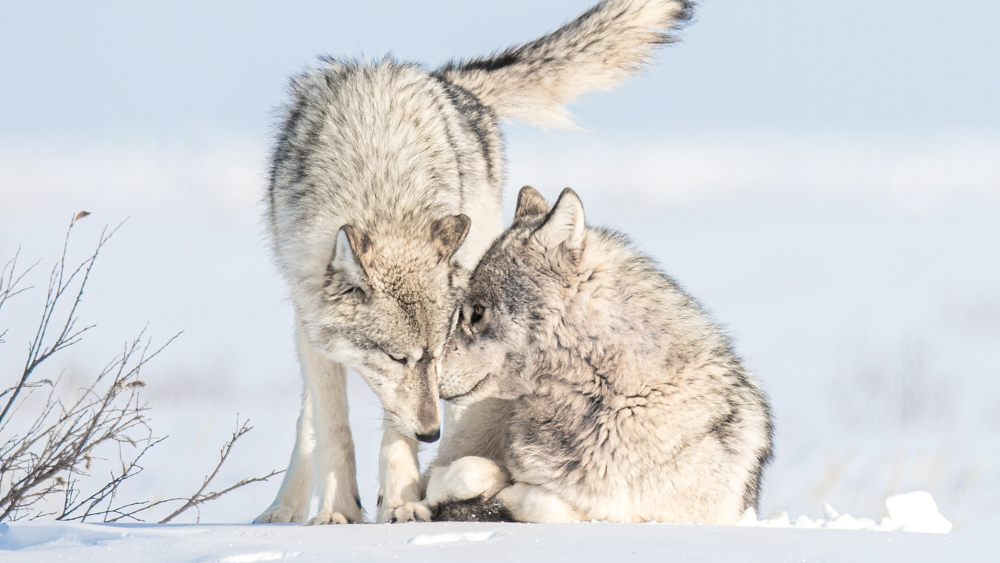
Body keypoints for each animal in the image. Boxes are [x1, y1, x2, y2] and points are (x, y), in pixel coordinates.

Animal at [256, 1, 696, 528]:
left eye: (436, 351)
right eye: (396, 357)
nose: (430, 433)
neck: (382, 191)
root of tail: (449, 82)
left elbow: (395, 431)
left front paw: (402, 502)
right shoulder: (317, 324)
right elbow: (333, 427)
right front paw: (339, 511)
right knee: (310, 420)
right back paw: (284, 507)